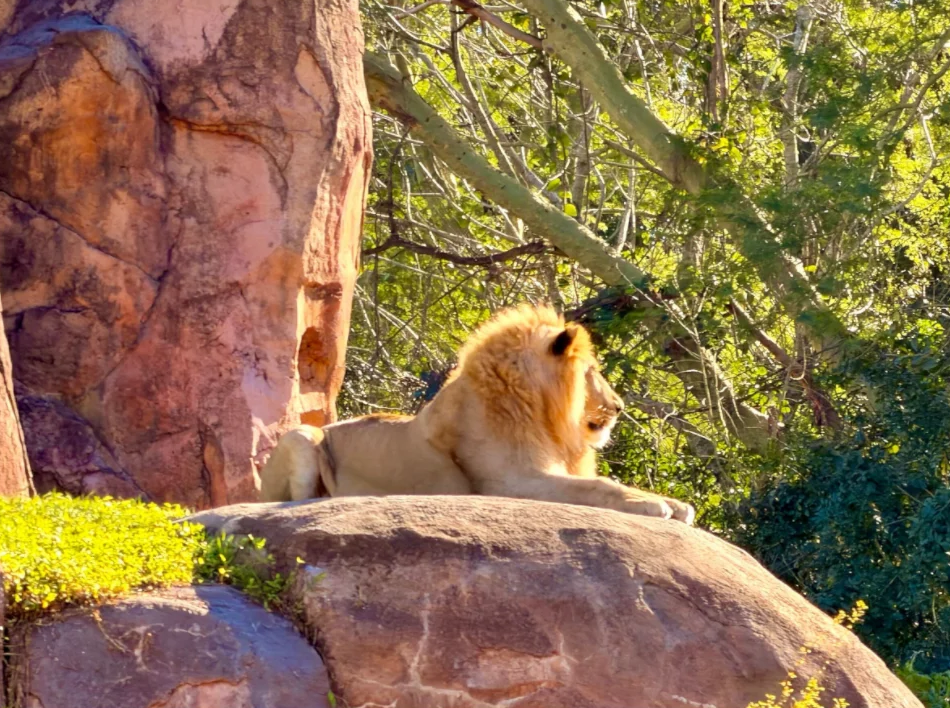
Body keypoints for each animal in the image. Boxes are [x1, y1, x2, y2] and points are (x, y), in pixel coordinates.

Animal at [259, 304, 695, 524]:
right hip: (302, 437)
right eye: (592, 371)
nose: (619, 406)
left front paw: (672, 503)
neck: (541, 413)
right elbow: (599, 486)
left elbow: (608, 482)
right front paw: (656, 506)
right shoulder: (510, 482)